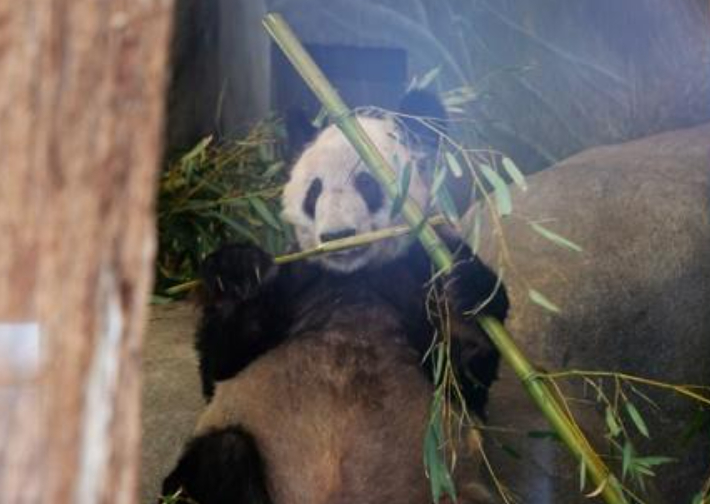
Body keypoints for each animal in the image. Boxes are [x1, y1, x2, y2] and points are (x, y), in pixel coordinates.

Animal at [161, 91, 508, 504]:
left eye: (367, 183)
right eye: (314, 191)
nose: (336, 236)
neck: (354, 277)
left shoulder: (419, 271)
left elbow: (466, 374)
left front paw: (470, 292)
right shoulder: (297, 280)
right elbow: (219, 367)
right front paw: (236, 272)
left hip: (449, 488)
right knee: (219, 457)